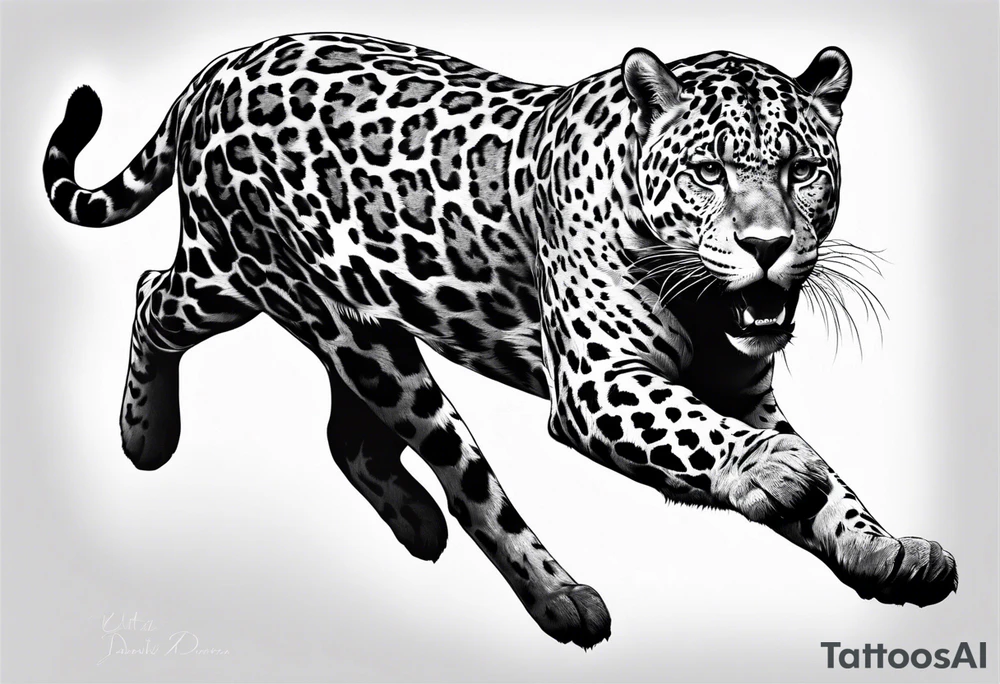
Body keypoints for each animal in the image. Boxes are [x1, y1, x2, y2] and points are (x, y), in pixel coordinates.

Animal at [43, 32, 957, 649]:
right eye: (709, 172)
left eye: (803, 170)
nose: (767, 245)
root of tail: (215, 68)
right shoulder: (596, 382)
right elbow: (696, 430)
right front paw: (774, 470)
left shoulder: (745, 390)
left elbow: (832, 481)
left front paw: (882, 547)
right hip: (257, 284)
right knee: (155, 296)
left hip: (362, 327)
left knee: (353, 438)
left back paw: (420, 528)